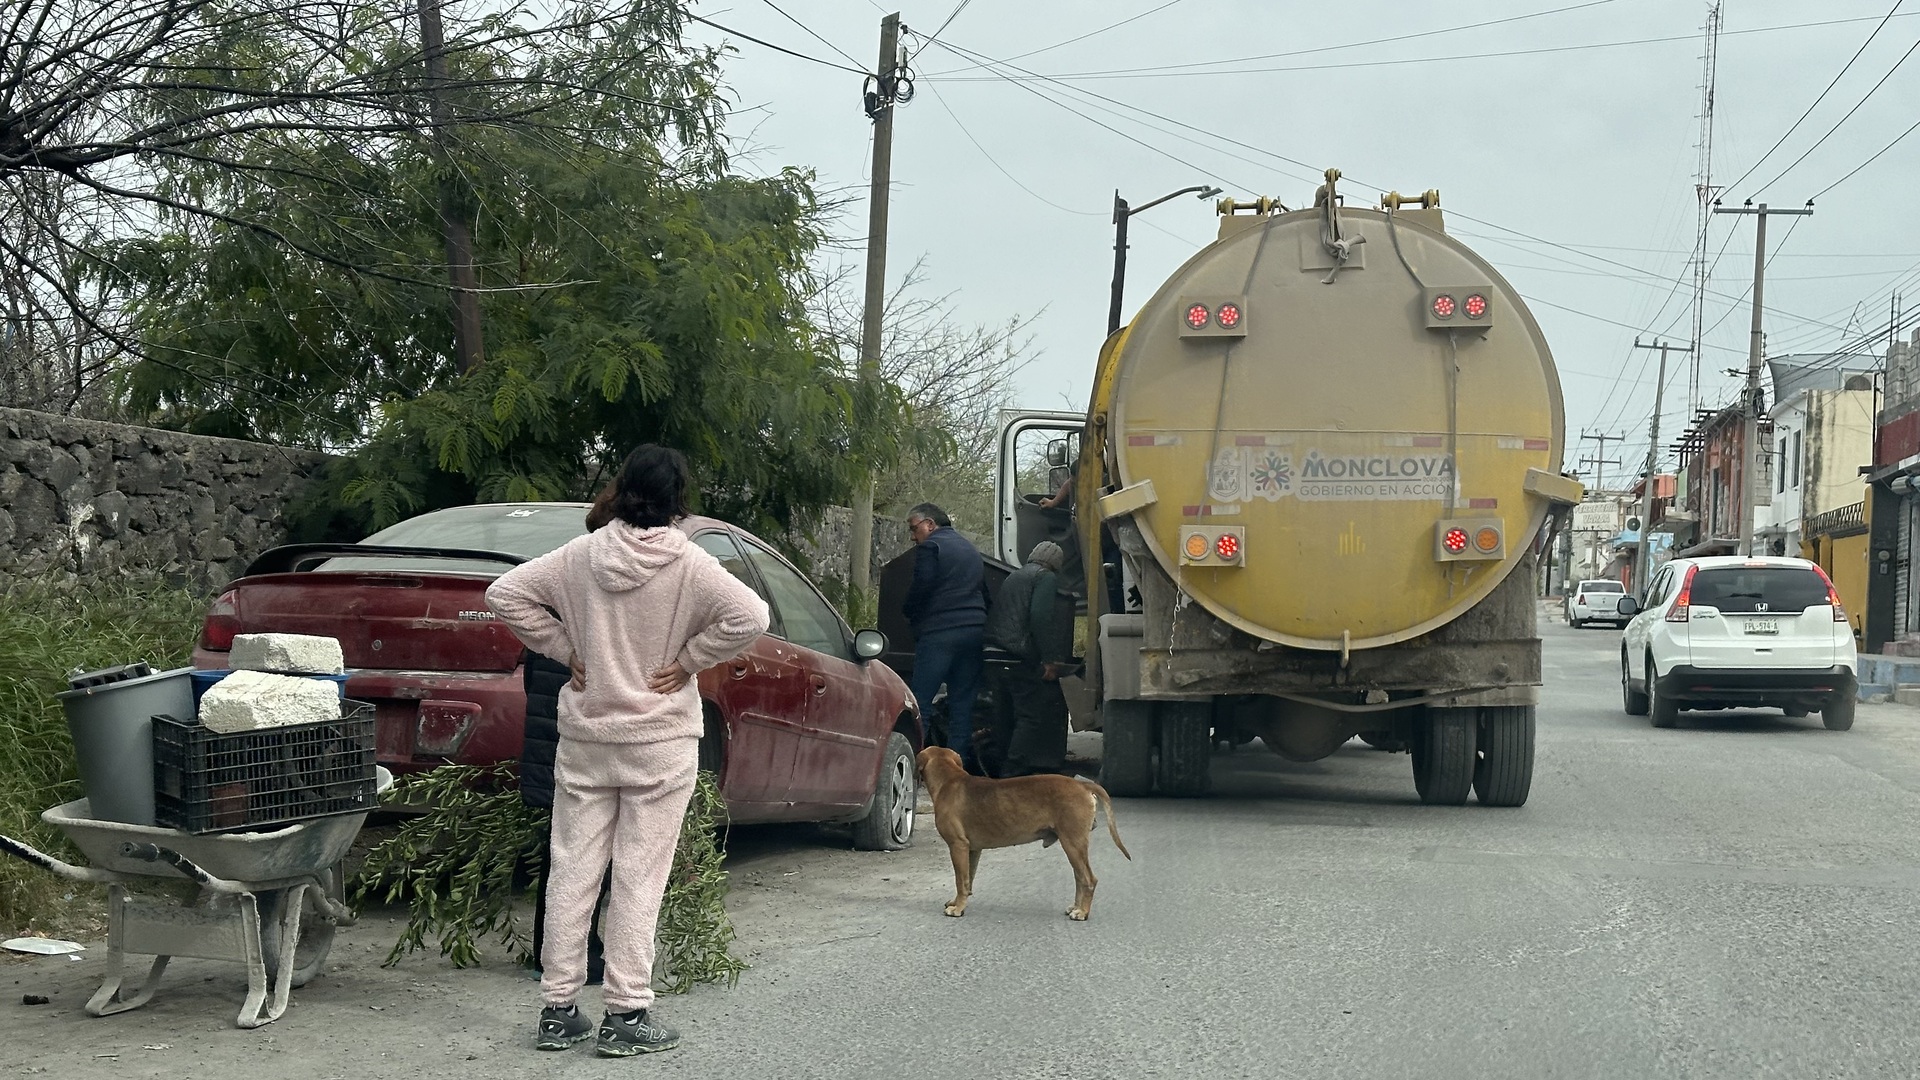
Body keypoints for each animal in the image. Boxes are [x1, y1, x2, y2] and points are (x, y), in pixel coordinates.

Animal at [910, 749, 1121, 914]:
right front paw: (957, 902)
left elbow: (960, 881)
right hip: (1073, 846)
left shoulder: (957, 846)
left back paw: (1082, 912)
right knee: (1079, 877)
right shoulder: (972, 850)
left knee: (1089, 879)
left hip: (1073, 843)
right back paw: (1076, 907)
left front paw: (958, 908)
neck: (948, 780)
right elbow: (968, 879)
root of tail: (1082, 784)